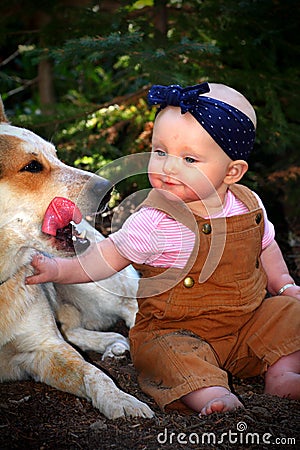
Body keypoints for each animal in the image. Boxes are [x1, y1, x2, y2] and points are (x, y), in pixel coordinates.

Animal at [0, 96, 154, 420]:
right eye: (32, 166)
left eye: (56, 155)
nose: (109, 190)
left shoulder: (45, 347)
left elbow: (93, 373)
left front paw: (122, 401)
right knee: (72, 327)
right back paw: (112, 344)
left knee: (129, 304)